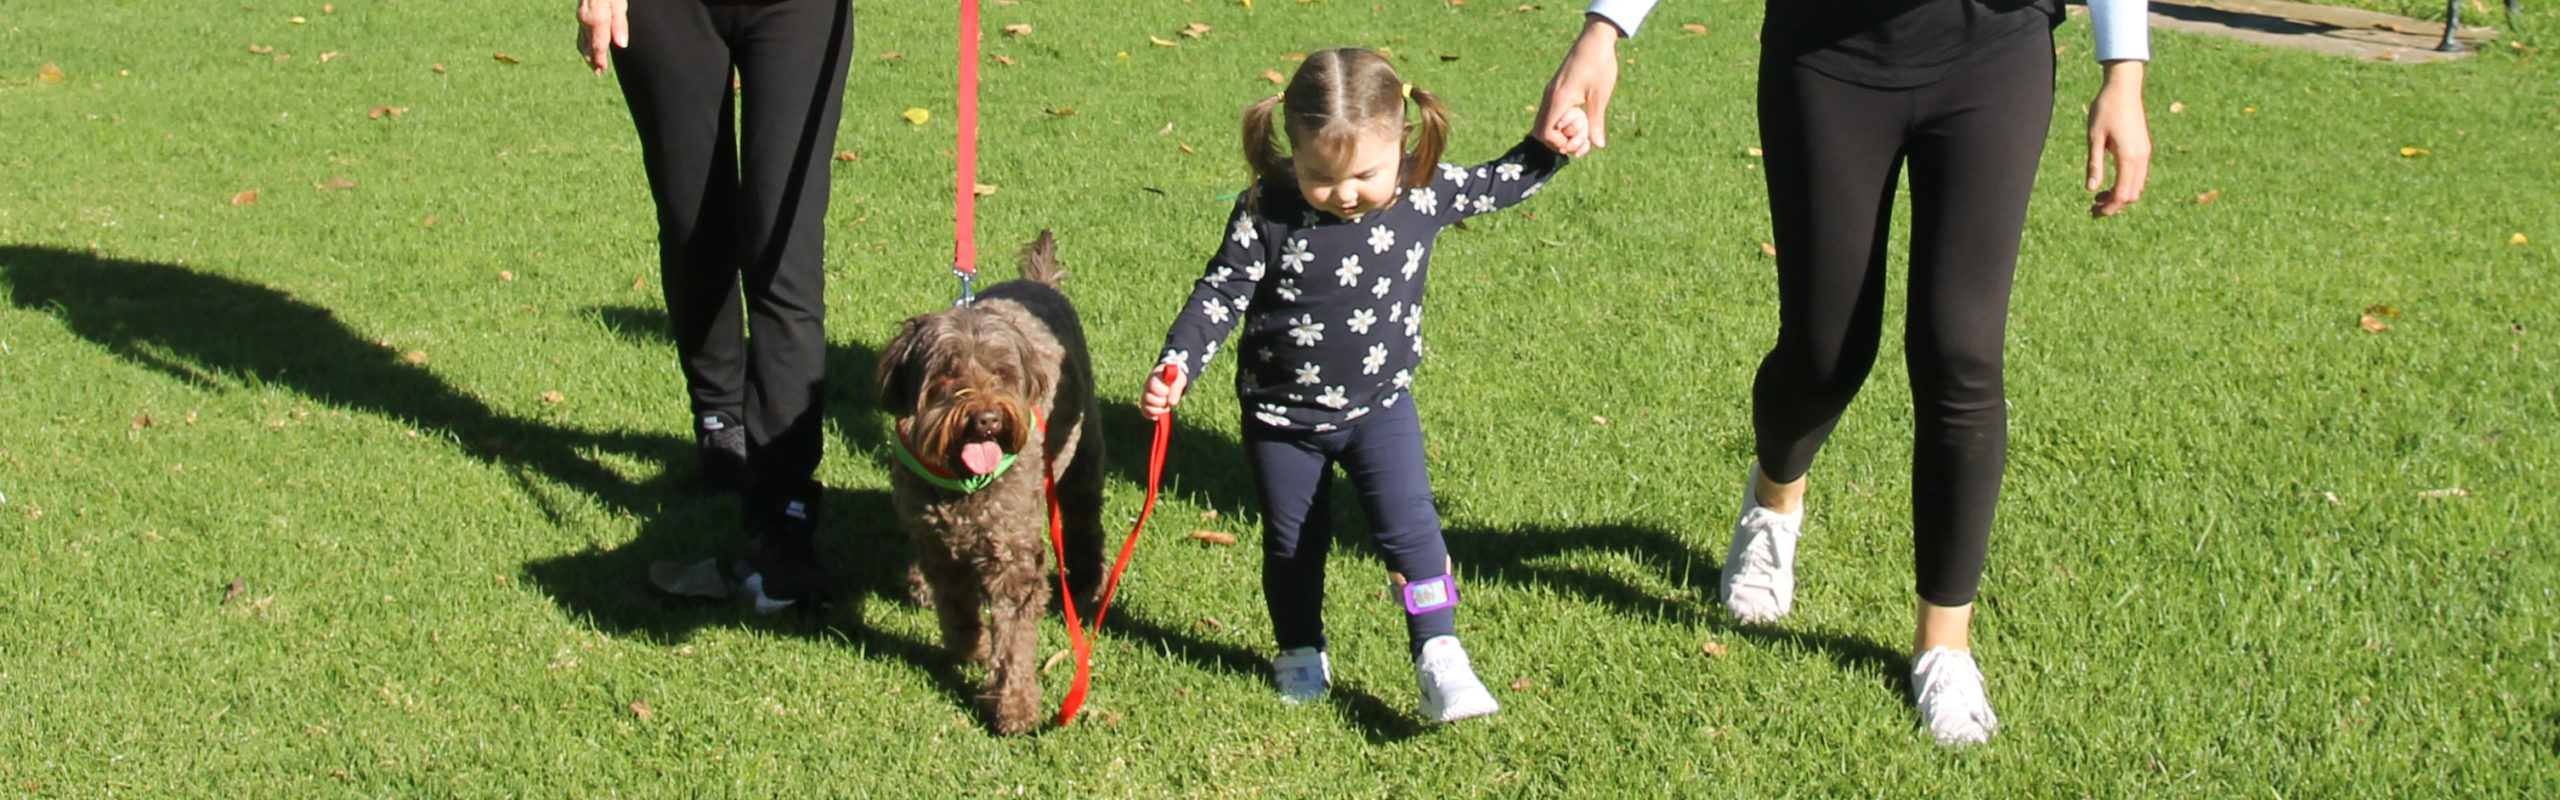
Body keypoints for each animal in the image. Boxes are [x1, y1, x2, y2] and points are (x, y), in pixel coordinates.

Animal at [876, 231, 1105, 735]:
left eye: (1002, 372)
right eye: (946, 373)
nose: (986, 419)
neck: (962, 484)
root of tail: (1037, 283)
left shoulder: (1013, 553)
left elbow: (1015, 637)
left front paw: (1014, 705)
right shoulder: (938, 543)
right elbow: (957, 607)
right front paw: (969, 647)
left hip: (1082, 454)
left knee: (1085, 519)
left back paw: (1087, 581)